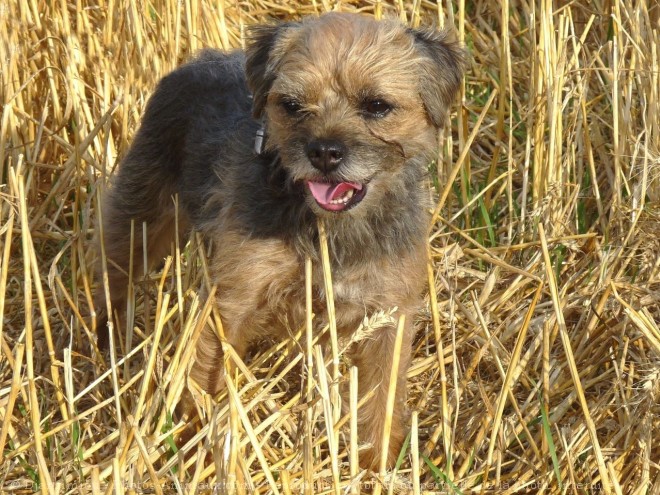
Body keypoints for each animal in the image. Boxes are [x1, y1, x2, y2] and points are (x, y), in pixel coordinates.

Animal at [96, 11, 464, 468]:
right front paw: (197, 446)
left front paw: (376, 466)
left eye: (377, 106)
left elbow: (381, 402)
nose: (324, 152)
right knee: (113, 274)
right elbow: (207, 378)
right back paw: (107, 340)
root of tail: (200, 60)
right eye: (291, 105)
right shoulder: (231, 304)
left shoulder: (387, 317)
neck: (330, 229)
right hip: (141, 217)